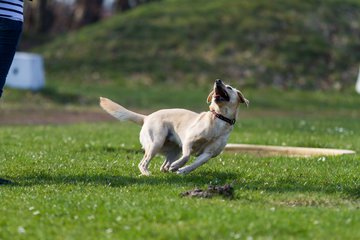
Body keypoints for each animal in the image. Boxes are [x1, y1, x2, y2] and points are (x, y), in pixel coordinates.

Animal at [100, 79, 249, 175]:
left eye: (229, 87)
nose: (218, 80)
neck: (219, 118)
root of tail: (146, 117)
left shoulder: (209, 153)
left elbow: (195, 163)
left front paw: (183, 170)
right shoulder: (188, 141)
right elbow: (187, 156)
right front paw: (178, 166)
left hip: (174, 150)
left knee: (163, 166)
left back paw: (169, 169)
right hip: (156, 142)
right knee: (143, 163)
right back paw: (148, 173)